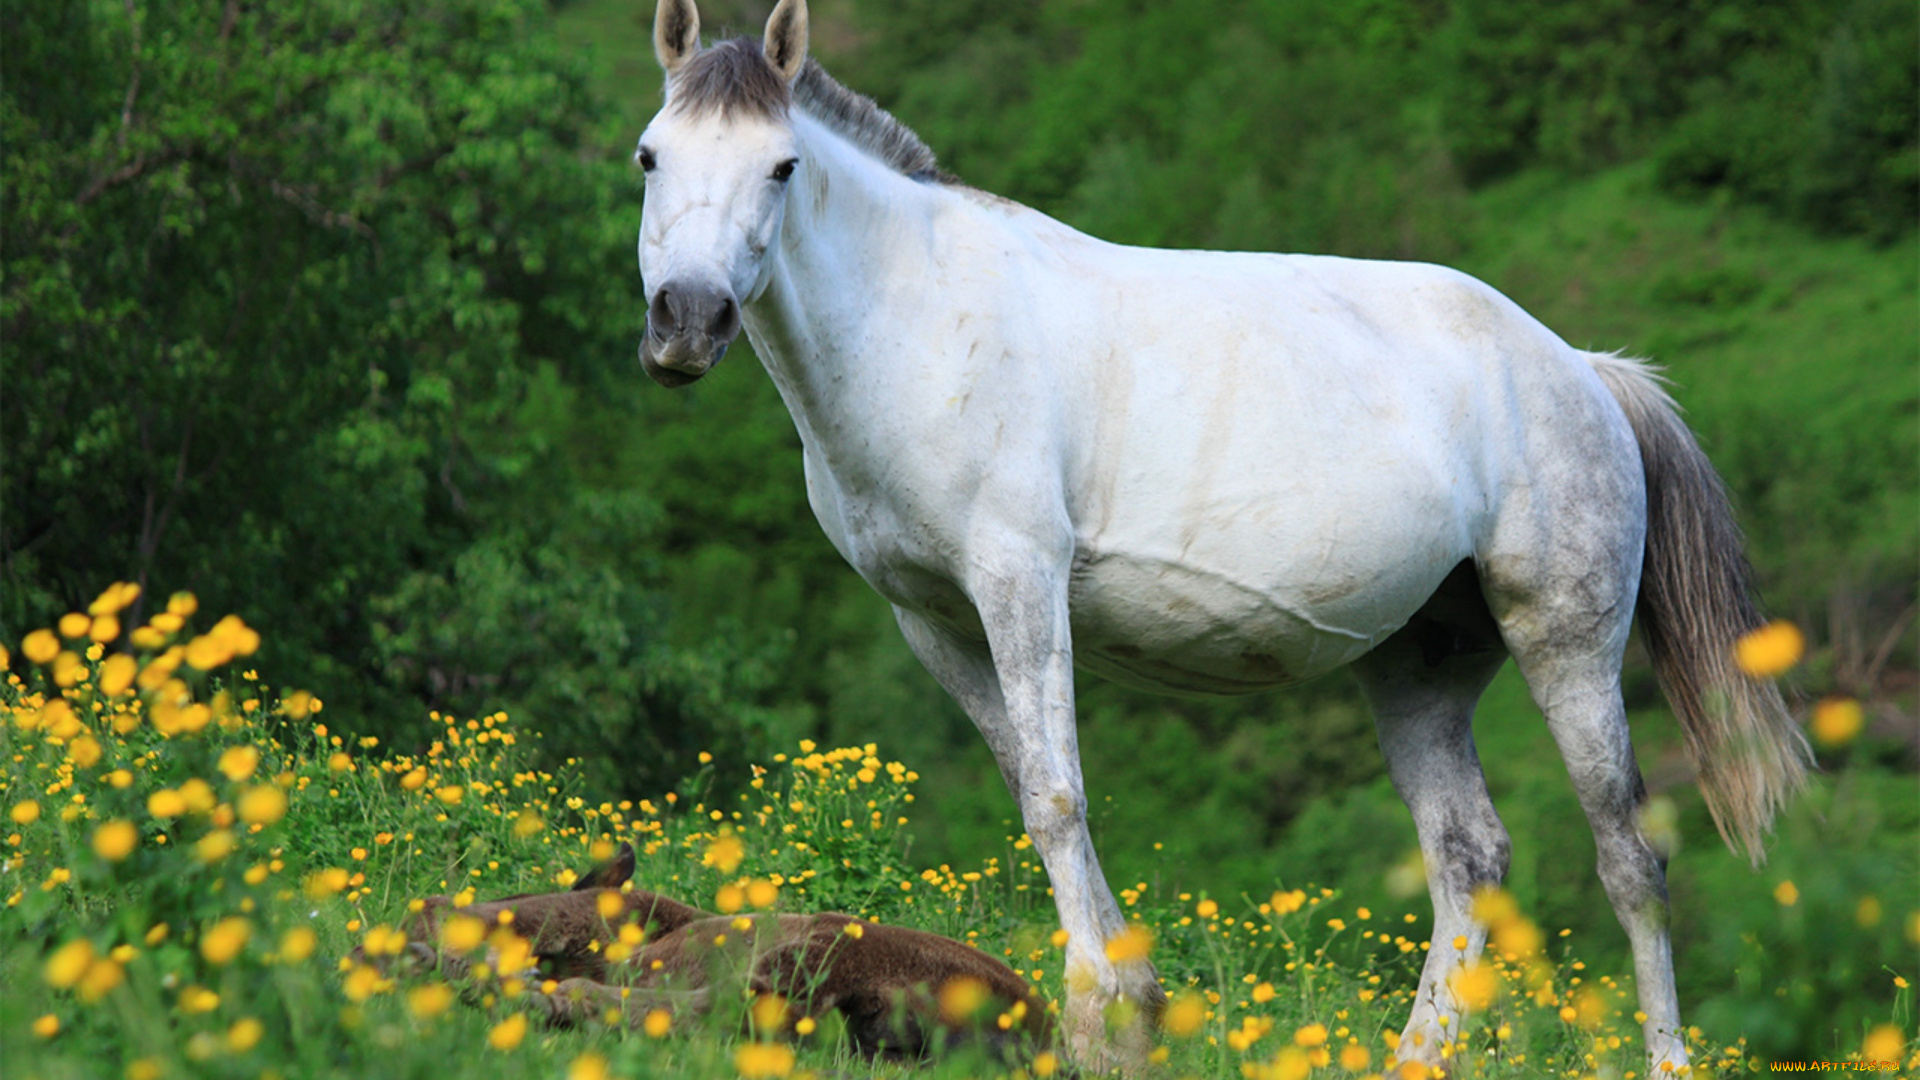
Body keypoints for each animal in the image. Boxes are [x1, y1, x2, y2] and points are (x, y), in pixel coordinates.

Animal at [629, 0, 1812, 1068]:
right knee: (1468, 856)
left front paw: (1102, 1019)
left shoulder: (1018, 580)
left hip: (1566, 641)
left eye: (782, 166)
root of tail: (1586, 372)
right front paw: (1133, 1007)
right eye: (649, 156)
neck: (918, 319)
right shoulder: (935, 620)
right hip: (1419, 664)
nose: (686, 322)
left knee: (1630, 860)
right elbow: (1034, 795)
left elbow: (1056, 798)